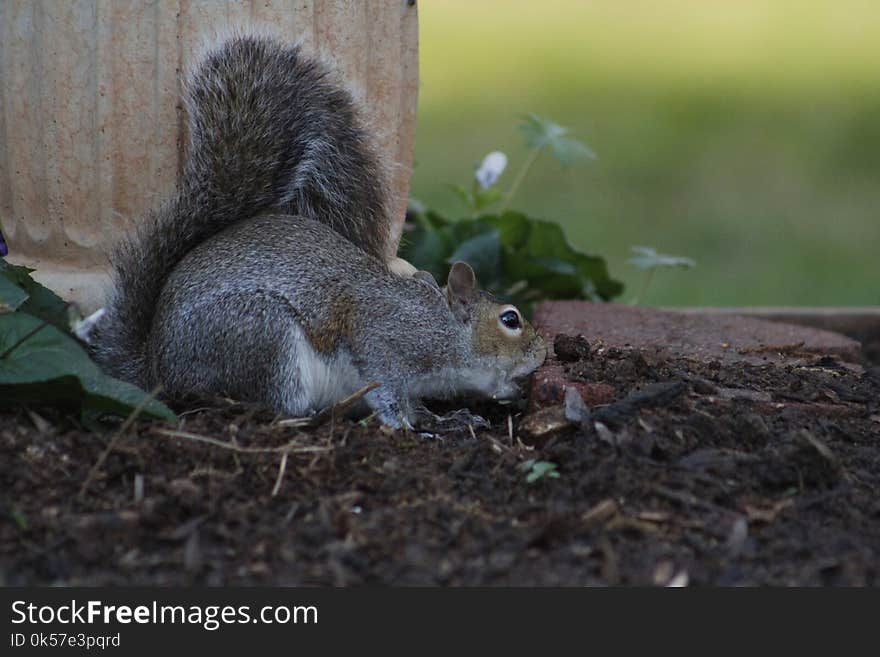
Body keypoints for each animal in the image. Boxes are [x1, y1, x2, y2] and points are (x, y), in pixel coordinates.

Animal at [87, 33, 544, 428]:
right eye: (510, 319)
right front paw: (408, 426)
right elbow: (388, 390)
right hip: (262, 337)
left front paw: (445, 418)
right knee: (270, 403)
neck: (442, 327)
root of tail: (159, 367)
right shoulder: (384, 339)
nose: (542, 353)